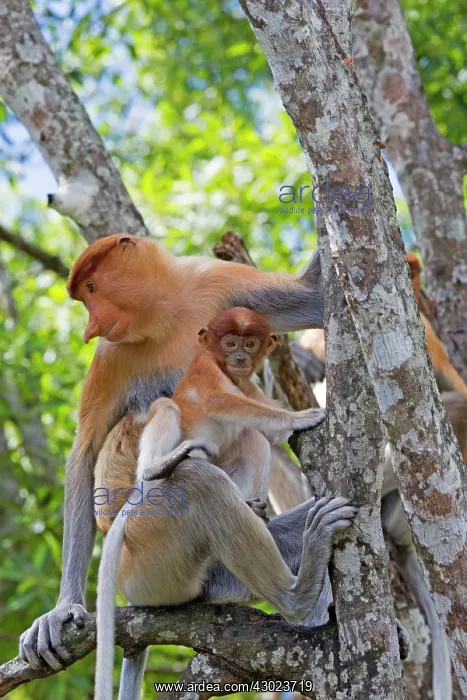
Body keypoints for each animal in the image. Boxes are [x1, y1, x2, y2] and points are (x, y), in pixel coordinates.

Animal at [19, 234, 335, 689]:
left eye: (92, 289)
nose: (91, 327)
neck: (163, 316)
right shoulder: (112, 354)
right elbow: (86, 449)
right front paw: (62, 611)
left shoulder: (215, 281)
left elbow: (314, 297)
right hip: (147, 557)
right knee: (195, 479)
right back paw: (298, 595)